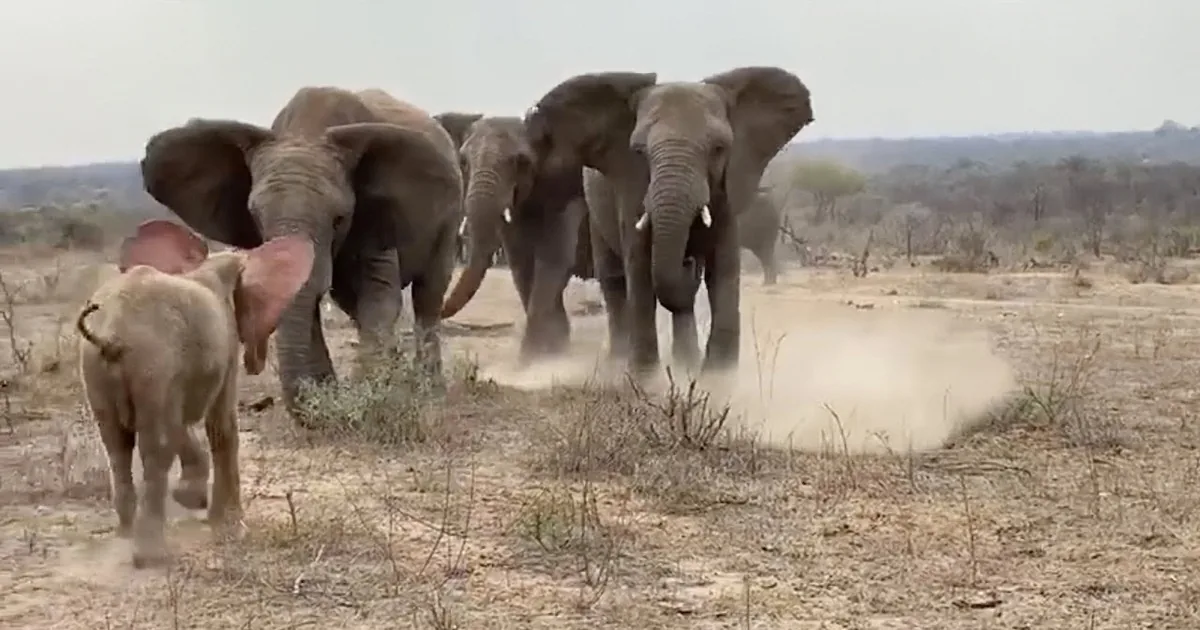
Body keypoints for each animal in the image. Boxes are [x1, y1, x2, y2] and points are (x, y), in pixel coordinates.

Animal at [77, 219, 314, 568]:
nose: (256, 362)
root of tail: (112, 334)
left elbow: (184, 425)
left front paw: (192, 499)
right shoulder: (225, 345)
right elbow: (221, 425)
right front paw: (231, 528)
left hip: (97, 369)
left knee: (117, 445)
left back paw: (126, 533)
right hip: (153, 362)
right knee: (156, 447)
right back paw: (151, 556)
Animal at [140, 87, 464, 416]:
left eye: (339, 219)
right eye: (254, 216)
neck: (306, 131)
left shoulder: (374, 216)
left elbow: (378, 294)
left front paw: (371, 395)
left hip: (449, 222)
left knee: (428, 294)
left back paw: (429, 390)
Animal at [434, 113, 594, 362]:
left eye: (521, 162)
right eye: (463, 162)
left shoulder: (570, 191)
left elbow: (553, 261)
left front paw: (528, 361)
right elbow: (521, 264)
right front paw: (551, 353)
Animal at [527, 66, 814, 376]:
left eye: (719, 149)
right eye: (639, 151)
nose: (688, 262)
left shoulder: (728, 188)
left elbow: (723, 268)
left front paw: (720, 379)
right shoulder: (631, 187)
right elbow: (640, 265)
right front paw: (645, 379)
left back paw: (686, 364)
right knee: (615, 280)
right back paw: (620, 363)